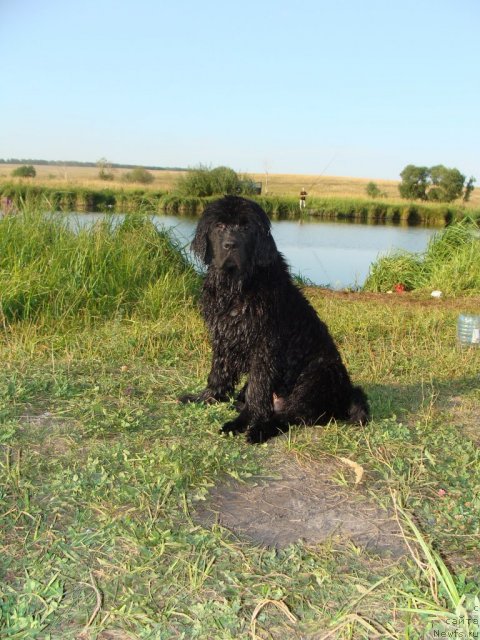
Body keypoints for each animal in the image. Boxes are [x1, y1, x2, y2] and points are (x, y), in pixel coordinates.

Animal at [181, 198, 372, 442]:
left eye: (246, 227)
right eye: (219, 226)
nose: (230, 245)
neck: (236, 287)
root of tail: (346, 394)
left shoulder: (264, 346)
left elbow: (257, 389)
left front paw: (245, 419)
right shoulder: (223, 337)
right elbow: (218, 373)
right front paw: (205, 398)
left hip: (316, 376)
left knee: (286, 416)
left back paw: (253, 429)